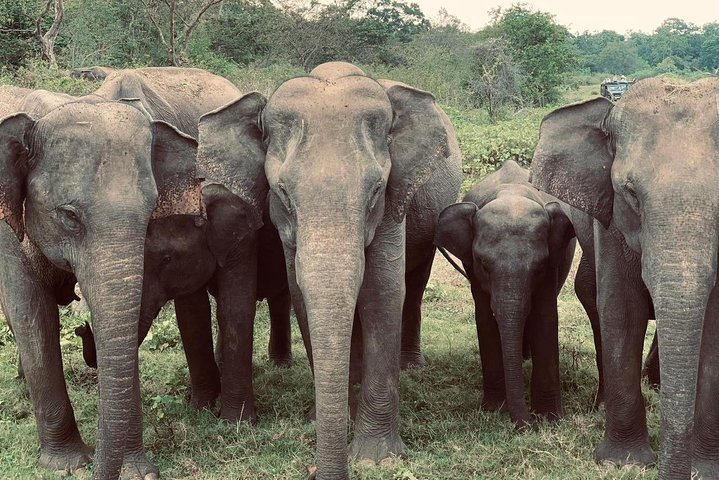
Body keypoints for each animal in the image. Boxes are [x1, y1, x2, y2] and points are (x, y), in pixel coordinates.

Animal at [0, 99, 202, 478]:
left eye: (151, 213)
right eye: (69, 216)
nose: (83, 330)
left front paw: (138, 471)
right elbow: (32, 315)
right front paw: (67, 464)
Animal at [197, 62, 464, 478]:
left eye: (375, 191)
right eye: (283, 194)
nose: (313, 470)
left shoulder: (393, 203)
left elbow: (383, 293)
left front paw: (374, 456)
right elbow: (301, 292)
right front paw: (325, 419)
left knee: (416, 283)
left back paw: (411, 367)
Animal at [434, 160, 580, 428]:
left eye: (539, 267)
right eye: (483, 264)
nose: (526, 426)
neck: (511, 194)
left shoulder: (552, 264)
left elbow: (545, 317)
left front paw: (549, 418)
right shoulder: (471, 268)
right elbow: (484, 318)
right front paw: (493, 410)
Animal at [532, 77, 719, 478]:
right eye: (631, 194)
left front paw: (706, 469)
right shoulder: (611, 222)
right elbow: (621, 308)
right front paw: (622, 462)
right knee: (591, 295)